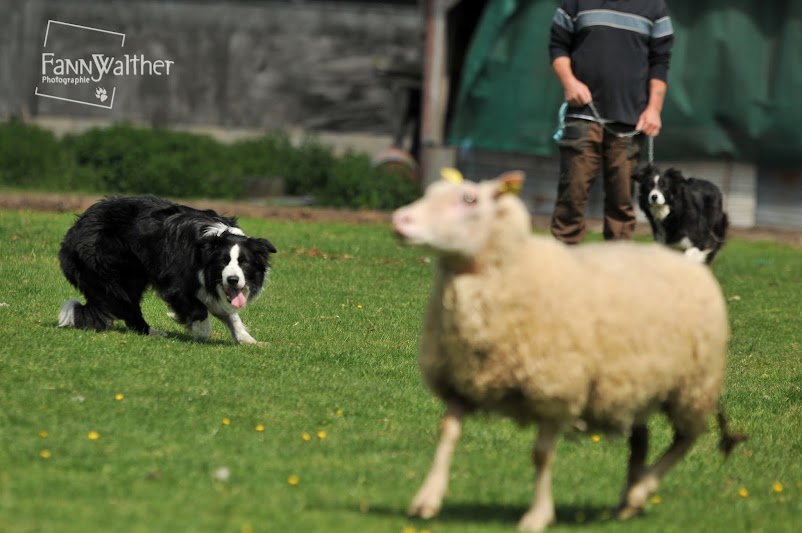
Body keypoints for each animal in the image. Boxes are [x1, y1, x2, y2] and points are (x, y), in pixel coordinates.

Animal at [57, 196, 276, 344]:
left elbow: (230, 314)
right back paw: (152, 332)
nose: (232, 280)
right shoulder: (178, 280)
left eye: (244, 263)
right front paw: (200, 330)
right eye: (223, 262)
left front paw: (249, 340)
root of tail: (74, 229)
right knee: (127, 303)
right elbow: (197, 308)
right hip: (115, 268)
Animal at [390, 170, 744, 532]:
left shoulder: (555, 389)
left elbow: (542, 454)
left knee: (685, 440)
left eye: (469, 199)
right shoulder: (461, 383)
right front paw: (427, 499)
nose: (400, 220)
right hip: (634, 384)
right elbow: (447, 434)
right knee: (641, 439)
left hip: (692, 386)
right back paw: (628, 499)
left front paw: (537, 515)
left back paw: (641, 491)